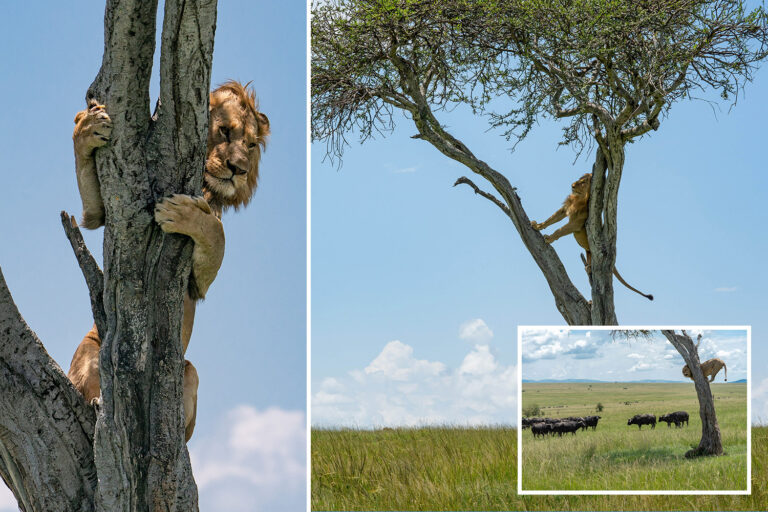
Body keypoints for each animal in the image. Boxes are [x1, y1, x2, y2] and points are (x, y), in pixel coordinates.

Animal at [67, 81, 270, 441]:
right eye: (224, 131)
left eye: (249, 144)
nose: (240, 170)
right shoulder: (101, 212)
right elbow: (92, 199)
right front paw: (87, 127)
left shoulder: (198, 281)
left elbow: (217, 232)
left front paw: (180, 212)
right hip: (90, 350)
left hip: (191, 371)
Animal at [530, 173, 653, 301]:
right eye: (579, 179)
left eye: (583, 182)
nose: (572, 185)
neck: (579, 198)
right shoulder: (565, 209)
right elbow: (551, 219)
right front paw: (537, 226)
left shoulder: (576, 224)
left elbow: (559, 230)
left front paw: (549, 238)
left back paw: (589, 267)